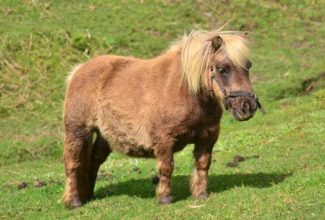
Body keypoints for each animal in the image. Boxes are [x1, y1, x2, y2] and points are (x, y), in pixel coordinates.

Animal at [61, 29, 264, 208]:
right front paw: (165, 198)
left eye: (248, 66)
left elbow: (203, 165)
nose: (247, 106)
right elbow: (166, 168)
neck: (185, 92)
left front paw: (201, 195)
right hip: (77, 132)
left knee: (94, 161)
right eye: (223, 69)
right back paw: (74, 202)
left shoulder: (207, 138)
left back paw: (88, 195)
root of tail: (78, 71)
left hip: (104, 136)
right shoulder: (164, 140)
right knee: (73, 165)